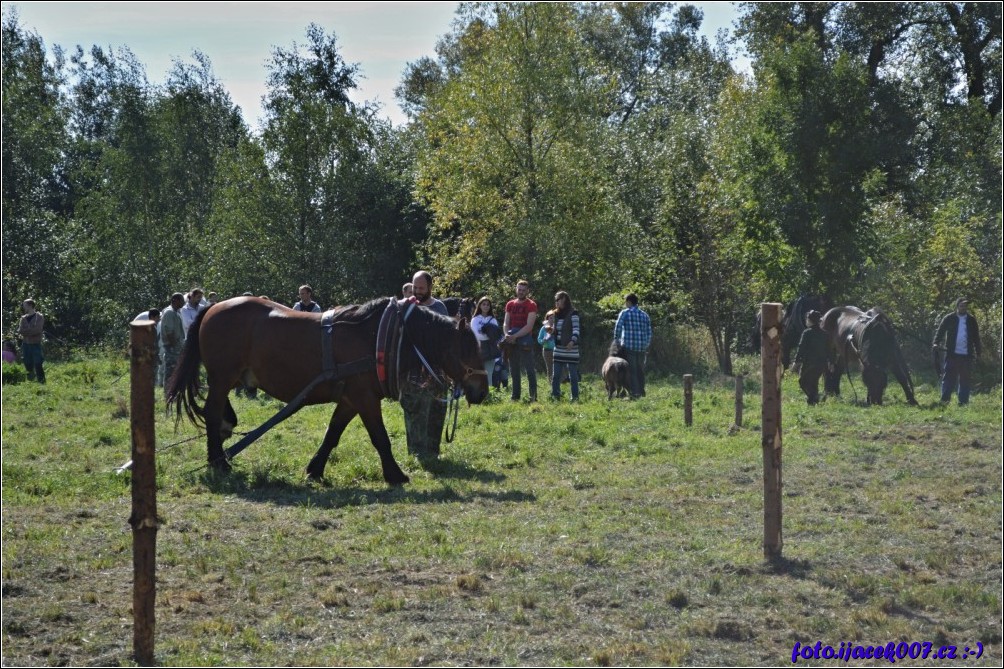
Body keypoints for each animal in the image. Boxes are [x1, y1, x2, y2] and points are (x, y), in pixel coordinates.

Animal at [166, 295, 487, 480]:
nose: (482, 390)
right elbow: (380, 438)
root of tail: (211, 308)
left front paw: (315, 469)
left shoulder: (350, 399)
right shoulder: (365, 398)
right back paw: (218, 461)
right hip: (222, 378)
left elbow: (332, 434)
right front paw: (396, 474)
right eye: (469, 349)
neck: (378, 337)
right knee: (211, 412)